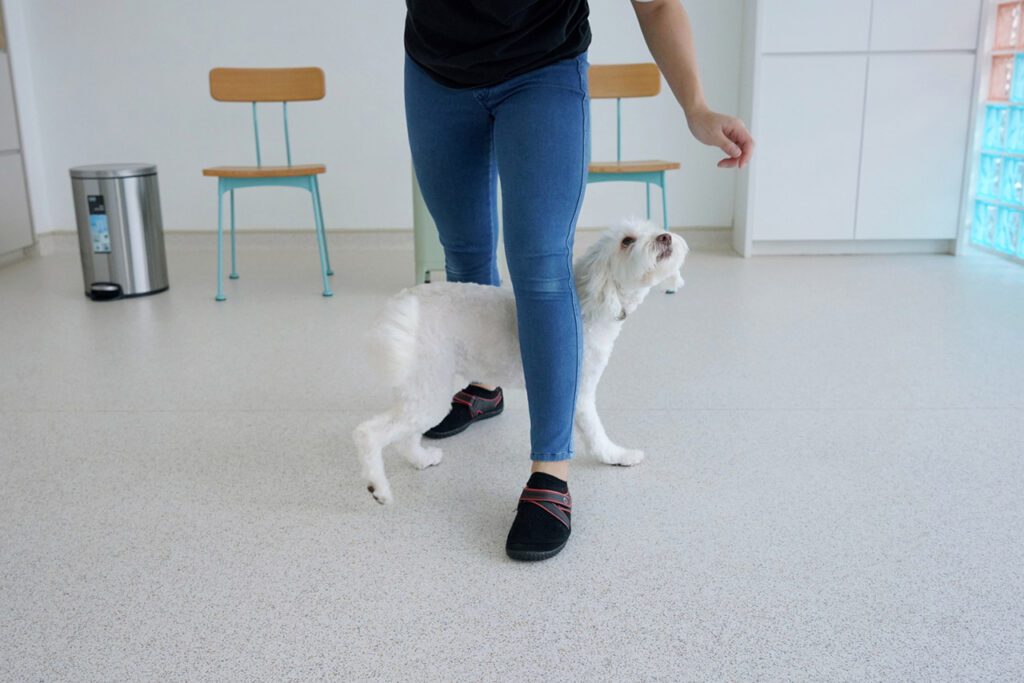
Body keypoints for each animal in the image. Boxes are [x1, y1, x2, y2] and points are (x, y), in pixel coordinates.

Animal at [354, 220, 688, 507]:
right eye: (627, 241)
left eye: (653, 228)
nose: (665, 237)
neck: (591, 302)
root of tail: (403, 304)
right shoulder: (579, 392)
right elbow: (596, 434)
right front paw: (617, 455)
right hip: (429, 391)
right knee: (368, 433)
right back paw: (378, 488)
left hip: (424, 386)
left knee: (404, 437)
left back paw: (421, 459)